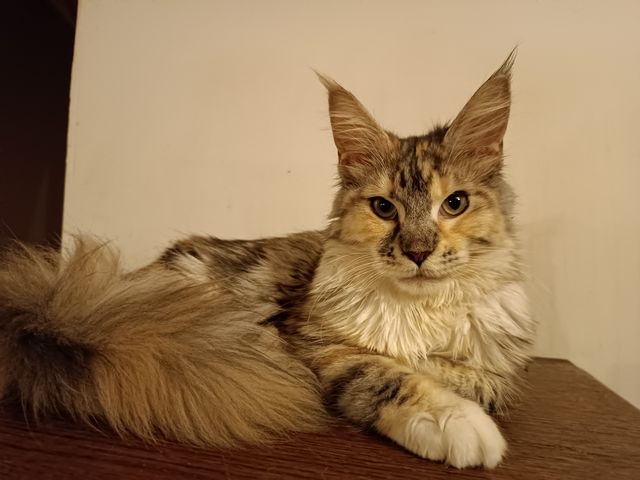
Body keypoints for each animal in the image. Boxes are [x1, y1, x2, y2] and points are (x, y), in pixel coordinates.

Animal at [0, 52, 535, 469]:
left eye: (455, 204)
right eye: (384, 209)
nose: (418, 252)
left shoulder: (498, 369)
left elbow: (482, 380)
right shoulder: (319, 346)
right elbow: (387, 374)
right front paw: (454, 421)